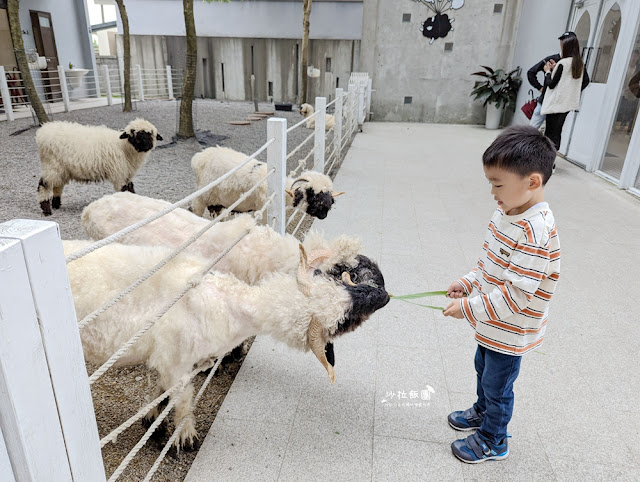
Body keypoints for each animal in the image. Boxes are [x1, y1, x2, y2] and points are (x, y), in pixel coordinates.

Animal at [34, 117, 162, 216]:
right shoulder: (119, 174)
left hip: (61, 169)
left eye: (150, 133)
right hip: (51, 165)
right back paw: (47, 210)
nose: (144, 144)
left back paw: (56, 204)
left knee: (57, 185)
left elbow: (130, 189)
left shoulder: (127, 173)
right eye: (133, 133)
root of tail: (43, 131)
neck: (123, 147)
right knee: (43, 185)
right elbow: (124, 190)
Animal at [63, 243, 390, 450]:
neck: (229, 304)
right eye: (349, 319)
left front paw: (152, 423)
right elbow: (183, 399)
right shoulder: (175, 361)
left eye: (344, 282)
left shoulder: (168, 361)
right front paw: (184, 439)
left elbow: (160, 393)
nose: (385, 296)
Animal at [189, 147, 342, 220]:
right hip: (201, 198)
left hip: (218, 203)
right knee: (194, 212)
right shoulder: (264, 210)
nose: (324, 214)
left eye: (329, 195)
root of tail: (198, 157)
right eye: (312, 193)